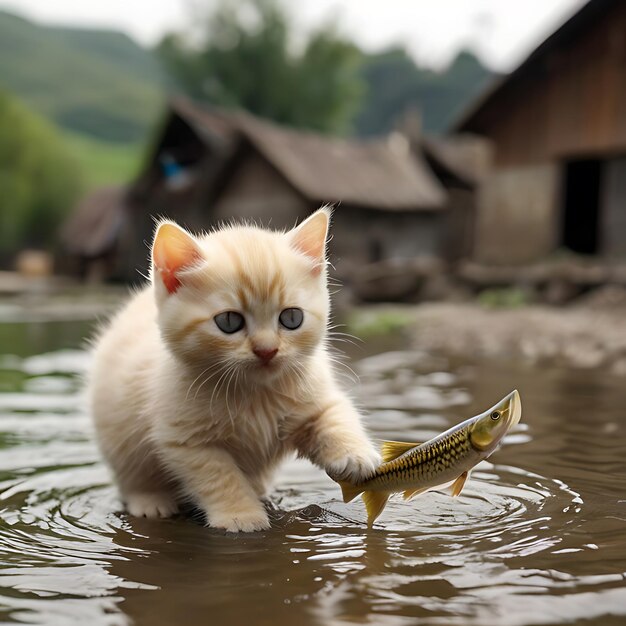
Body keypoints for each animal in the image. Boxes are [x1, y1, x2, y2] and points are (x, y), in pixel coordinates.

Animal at [88, 207, 378, 528]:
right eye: (229, 322)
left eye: (291, 318)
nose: (267, 350)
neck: (255, 393)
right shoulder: (186, 440)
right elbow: (219, 477)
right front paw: (241, 515)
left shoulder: (314, 397)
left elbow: (335, 416)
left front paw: (355, 455)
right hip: (117, 433)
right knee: (132, 475)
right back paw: (150, 501)